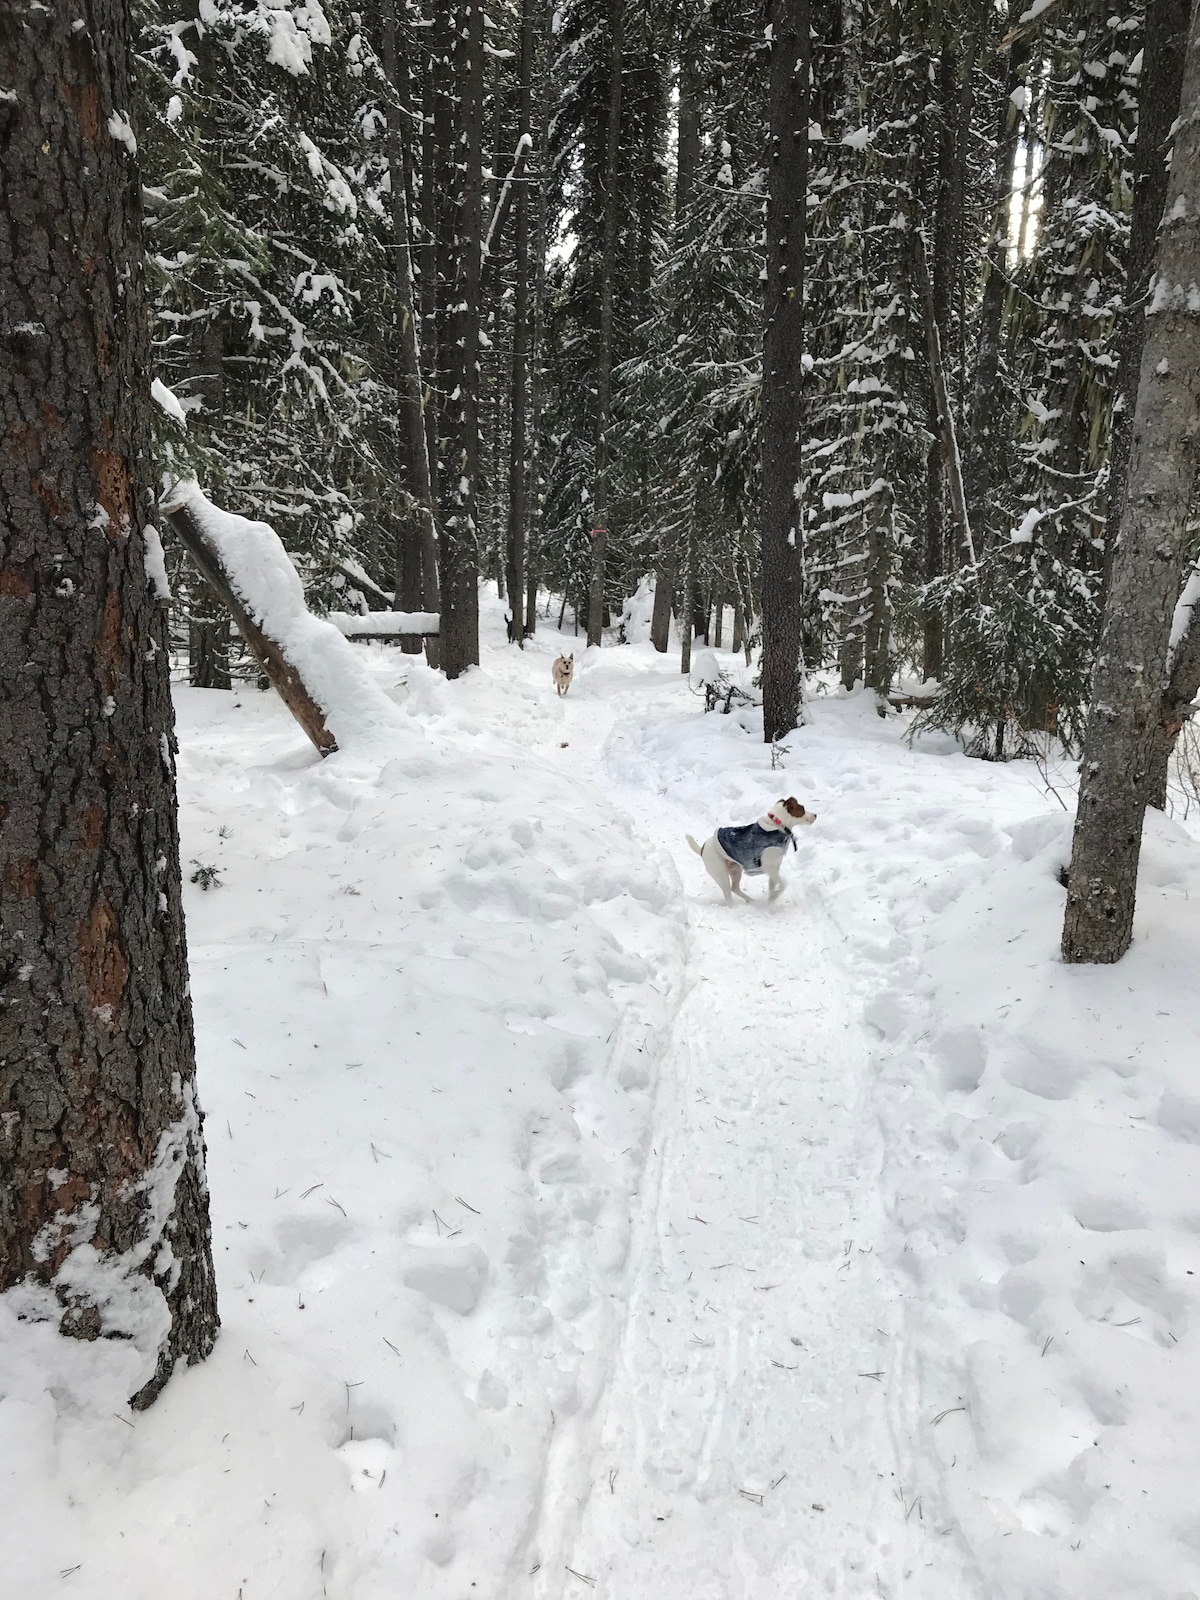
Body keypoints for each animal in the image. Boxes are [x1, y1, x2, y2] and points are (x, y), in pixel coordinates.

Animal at [684, 796, 819, 908]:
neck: (777, 825)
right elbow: (784, 884)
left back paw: (751, 900)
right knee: (729, 896)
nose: (816, 815)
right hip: (720, 874)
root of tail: (702, 848)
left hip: (735, 869)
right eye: (802, 809)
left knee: (735, 888)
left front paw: (770, 900)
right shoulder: (769, 868)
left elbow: (773, 885)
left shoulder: (774, 868)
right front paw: (774, 897)